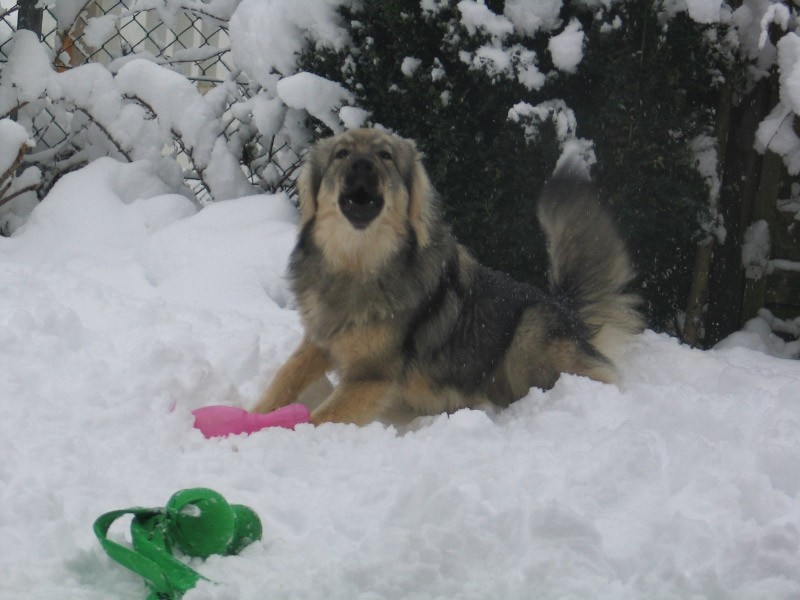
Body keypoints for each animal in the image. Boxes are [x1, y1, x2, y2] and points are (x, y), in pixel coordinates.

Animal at [255, 129, 644, 424]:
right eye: (342, 153)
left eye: (384, 155)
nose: (362, 165)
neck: (358, 264)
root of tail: (567, 309)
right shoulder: (319, 341)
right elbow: (283, 378)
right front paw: (256, 414)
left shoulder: (372, 375)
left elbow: (316, 419)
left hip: (529, 333)